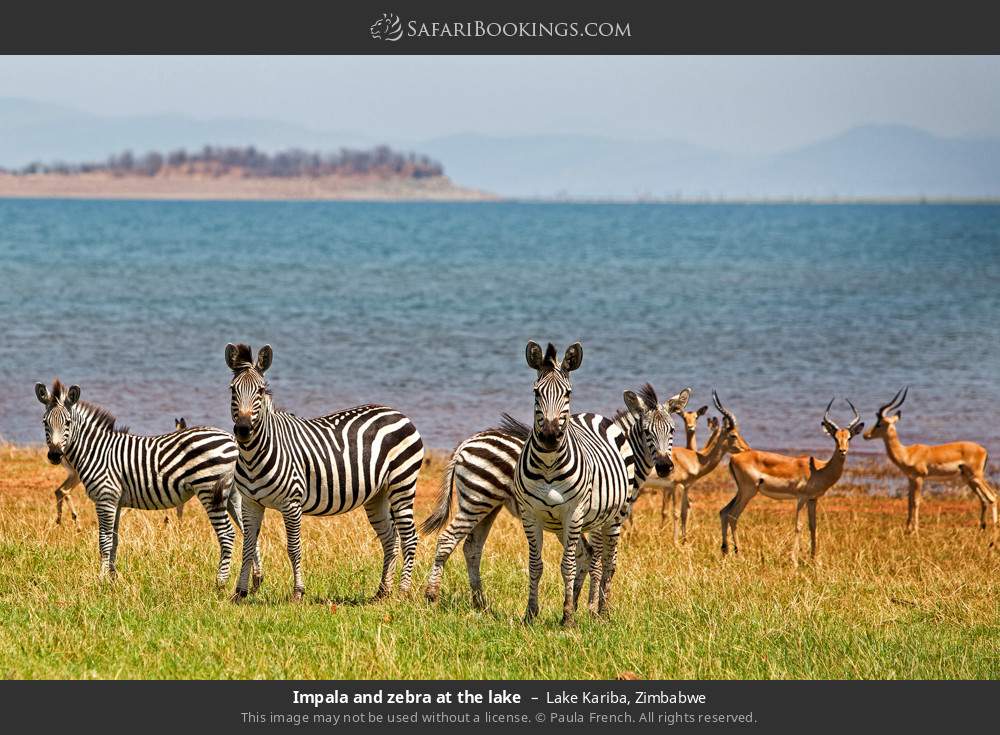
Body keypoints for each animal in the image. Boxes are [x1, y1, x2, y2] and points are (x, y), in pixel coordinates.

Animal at [34, 380, 243, 583]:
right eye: (44, 422)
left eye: (68, 423)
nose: (54, 455)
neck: (97, 451)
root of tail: (231, 439)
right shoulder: (116, 502)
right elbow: (114, 540)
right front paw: (113, 579)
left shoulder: (105, 498)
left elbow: (104, 540)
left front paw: (101, 580)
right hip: (233, 494)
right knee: (245, 530)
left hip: (210, 489)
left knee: (227, 534)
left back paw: (220, 583)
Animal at [224, 343, 425, 603]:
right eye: (233, 390)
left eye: (260, 390)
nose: (243, 430)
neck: (253, 455)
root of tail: (398, 413)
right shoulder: (251, 502)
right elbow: (248, 546)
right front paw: (239, 593)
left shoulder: (292, 503)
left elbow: (293, 547)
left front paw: (298, 593)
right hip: (378, 494)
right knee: (390, 538)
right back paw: (382, 592)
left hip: (403, 483)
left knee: (409, 537)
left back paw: (402, 591)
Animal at [423, 382, 685, 608]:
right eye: (647, 432)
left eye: (673, 430)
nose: (665, 467)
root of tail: (466, 443)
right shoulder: (603, 518)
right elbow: (598, 561)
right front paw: (592, 608)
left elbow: (584, 558)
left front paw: (575, 604)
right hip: (477, 500)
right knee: (447, 540)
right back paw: (432, 597)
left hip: (487, 506)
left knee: (472, 548)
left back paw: (481, 604)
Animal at [514, 341, 635, 626]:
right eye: (536, 393)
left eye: (568, 393)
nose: (549, 437)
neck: (548, 465)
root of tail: (592, 415)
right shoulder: (529, 514)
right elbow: (535, 565)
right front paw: (530, 614)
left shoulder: (573, 512)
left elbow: (566, 566)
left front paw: (567, 616)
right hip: (582, 522)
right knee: (591, 557)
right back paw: (589, 608)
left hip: (614, 517)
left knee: (608, 562)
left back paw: (601, 611)